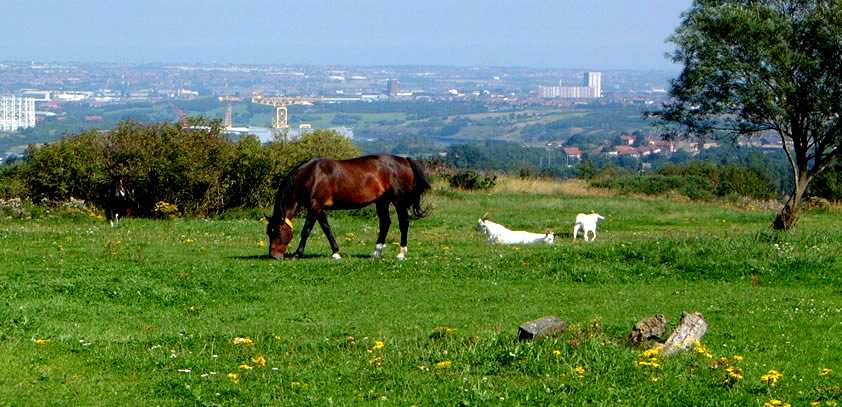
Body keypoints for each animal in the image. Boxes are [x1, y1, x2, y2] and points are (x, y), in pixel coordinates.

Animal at [266, 153, 430, 262]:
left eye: (277, 232)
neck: (311, 175)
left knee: (403, 223)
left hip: (398, 201)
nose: (273, 256)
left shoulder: (315, 206)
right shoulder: (319, 208)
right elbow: (327, 229)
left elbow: (306, 230)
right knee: (385, 223)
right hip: (382, 201)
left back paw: (401, 253)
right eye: (268, 232)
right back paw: (376, 252)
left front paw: (297, 254)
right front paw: (336, 252)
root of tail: (405, 160)